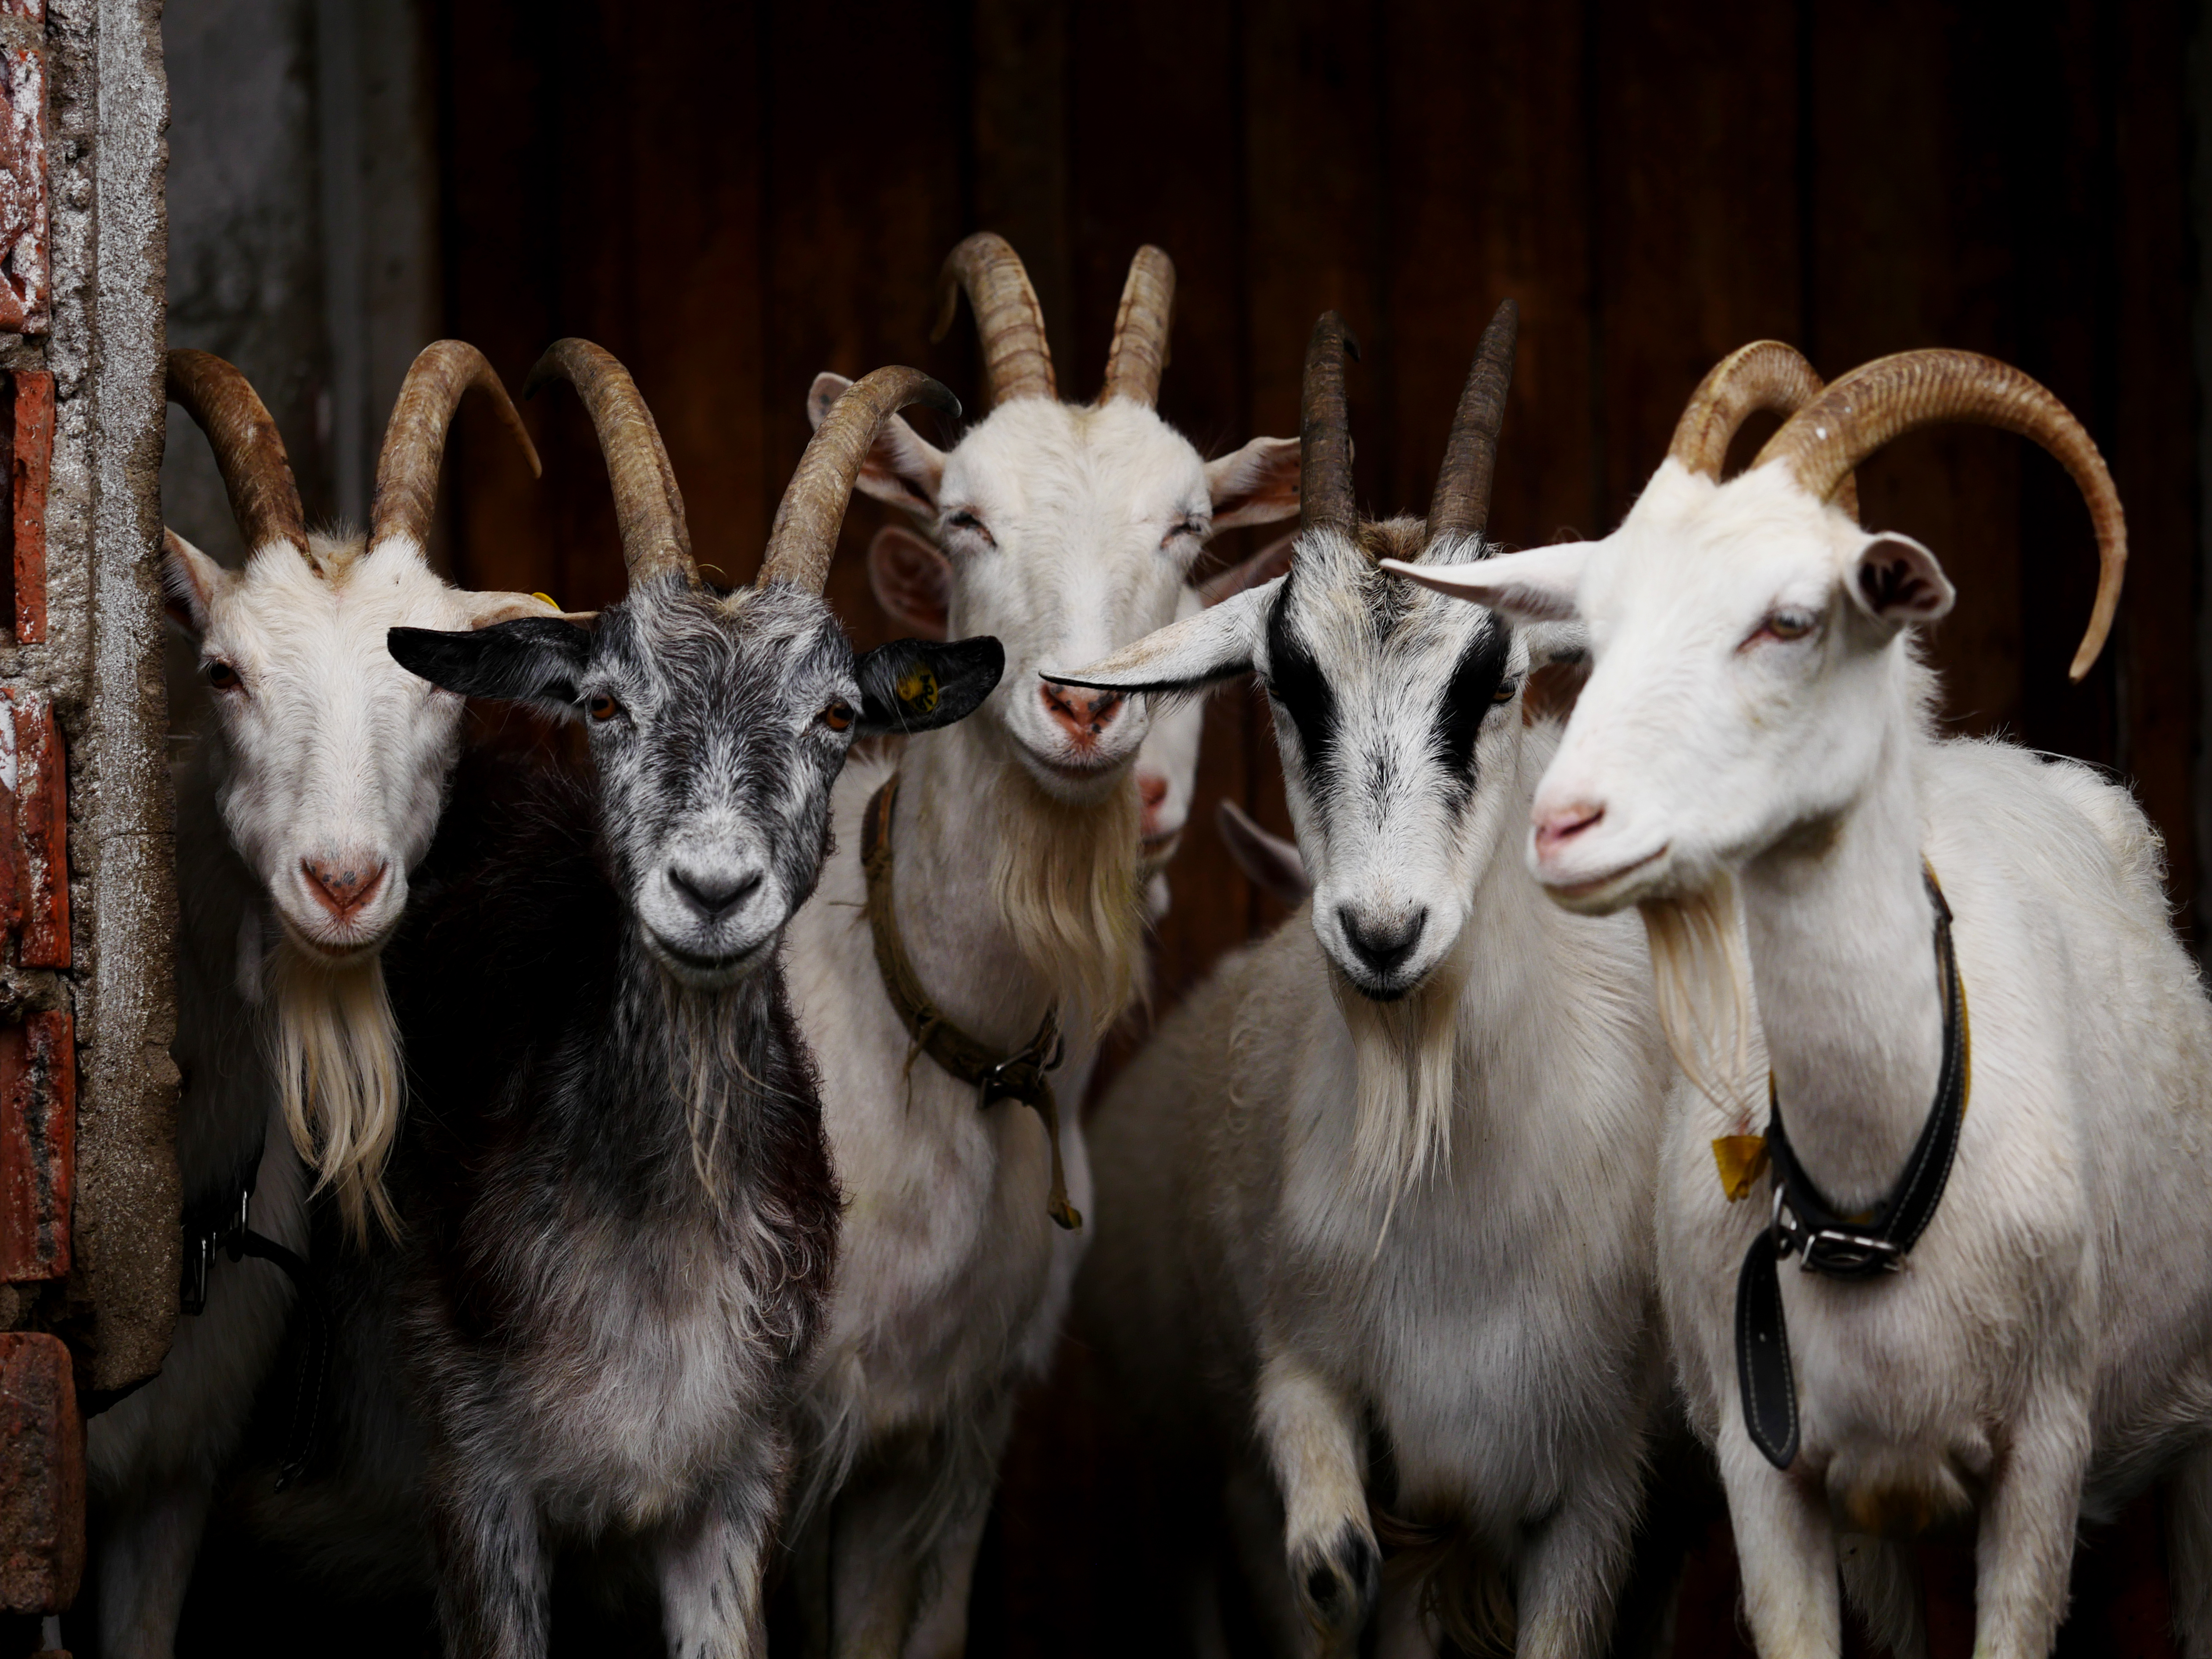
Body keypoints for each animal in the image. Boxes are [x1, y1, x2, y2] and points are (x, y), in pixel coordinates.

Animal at [258, 340, 1013, 1659]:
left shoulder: (742, 1472)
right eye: (608, 704)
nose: (712, 888)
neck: (655, 1246)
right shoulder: (473, 1475)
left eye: (837, 713)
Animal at [1052, 305, 1672, 1654]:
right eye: (1287, 682)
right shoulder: (1311, 1399)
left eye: (1495, 679)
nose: (1383, 933)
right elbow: (1332, 1565)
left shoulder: (1599, 1487)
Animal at [1389, 345, 2212, 1659]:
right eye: (1595, 632)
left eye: (1789, 619)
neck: (1879, 1190)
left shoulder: (2044, 1457)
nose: (1564, 824)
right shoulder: (1765, 1469)